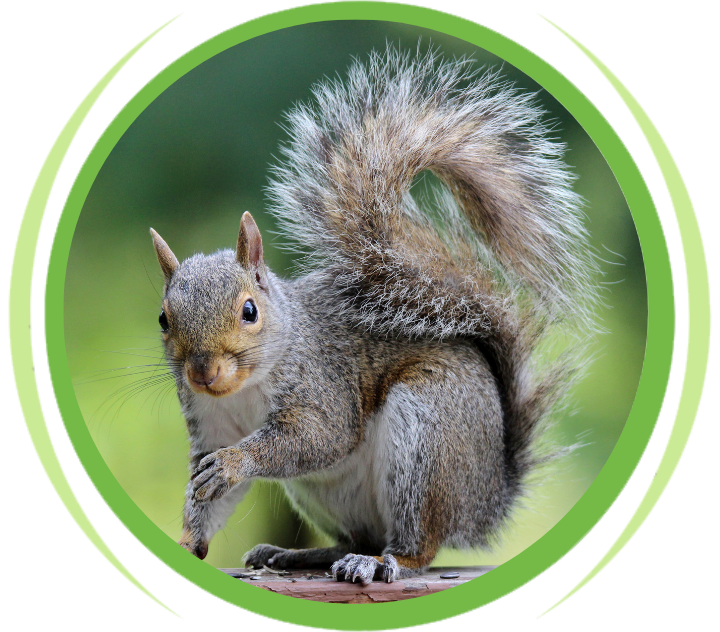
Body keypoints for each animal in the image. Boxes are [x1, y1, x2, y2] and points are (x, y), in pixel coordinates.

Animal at [150, 48, 598, 584]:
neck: (244, 389)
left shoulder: (323, 386)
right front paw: (188, 540)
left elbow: (316, 437)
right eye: (163, 319)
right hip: (327, 494)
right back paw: (299, 555)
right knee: (357, 537)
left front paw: (237, 462)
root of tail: (486, 500)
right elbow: (208, 499)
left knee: (418, 544)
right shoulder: (208, 427)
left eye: (249, 311)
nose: (202, 372)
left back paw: (384, 560)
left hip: (427, 437)